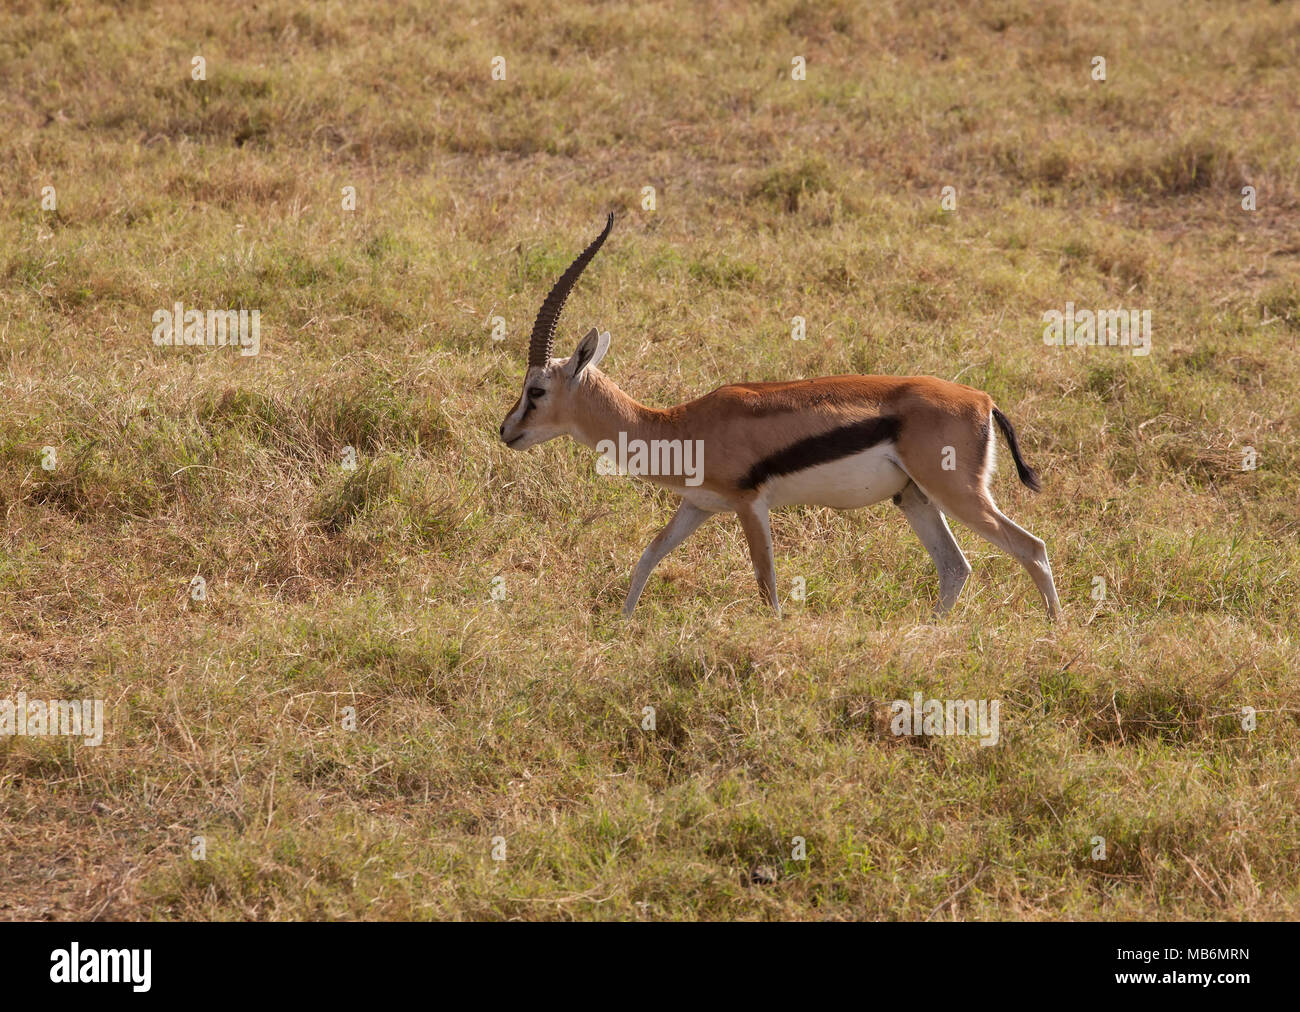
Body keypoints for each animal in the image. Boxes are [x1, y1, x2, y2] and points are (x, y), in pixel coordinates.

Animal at [499, 215, 1061, 620]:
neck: (679, 427)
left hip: (957, 493)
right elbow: (650, 554)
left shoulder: (750, 505)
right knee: (955, 568)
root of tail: (983, 399)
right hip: (915, 498)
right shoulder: (697, 506)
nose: (506, 431)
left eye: (536, 389)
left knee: (1030, 547)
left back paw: (1054, 635)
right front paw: (623, 624)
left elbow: (765, 580)